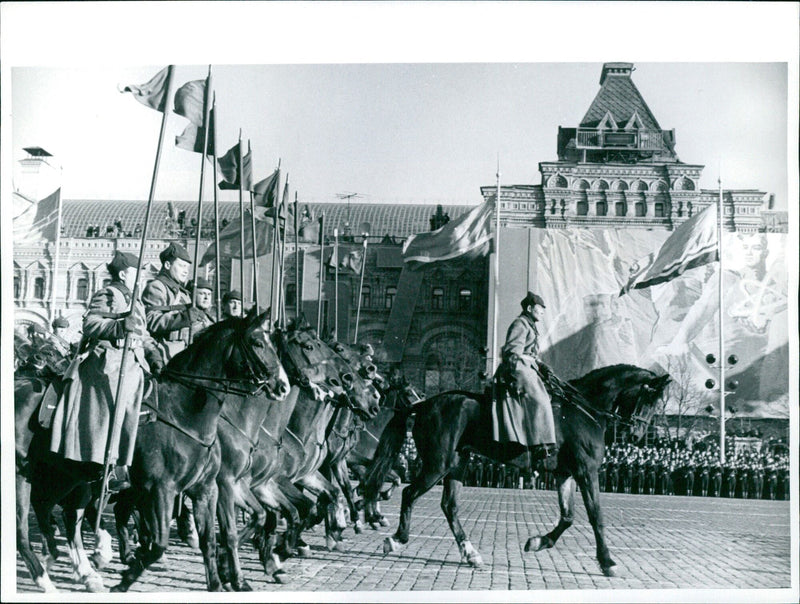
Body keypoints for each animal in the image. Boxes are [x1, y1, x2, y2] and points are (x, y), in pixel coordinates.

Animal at [111, 310, 290, 592]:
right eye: (258, 342)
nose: (283, 386)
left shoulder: (211, 487)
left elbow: (225, 533)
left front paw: (224, 578)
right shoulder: (175, 488)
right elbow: (221, 534)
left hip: (135, 487)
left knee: (120, 510)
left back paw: (127, 554)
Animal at [376, 364, 668, 576]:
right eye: (649, 399)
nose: (637, 434)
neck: (582, 411)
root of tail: (423, 404)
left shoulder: (566, 473)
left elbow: (568, 516)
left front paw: (538, 542)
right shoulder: (586, 471)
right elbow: (596, 516)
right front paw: (607, 561)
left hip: (458, 465)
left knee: (449, 506)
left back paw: (471, 553)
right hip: (438, 464)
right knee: (410, 494)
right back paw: (397, 538)